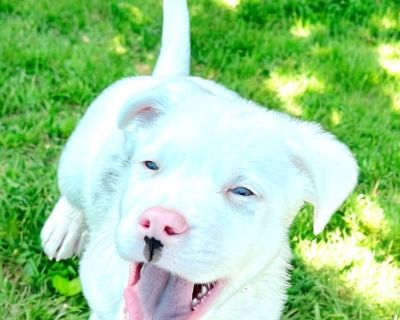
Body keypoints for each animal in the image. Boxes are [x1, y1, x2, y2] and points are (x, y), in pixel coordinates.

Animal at [40, 1, 358, 318]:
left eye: (243, 191)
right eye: (151, 165)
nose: (159, 222)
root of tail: (170, 78)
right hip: (78, 160)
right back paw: (64, 228)